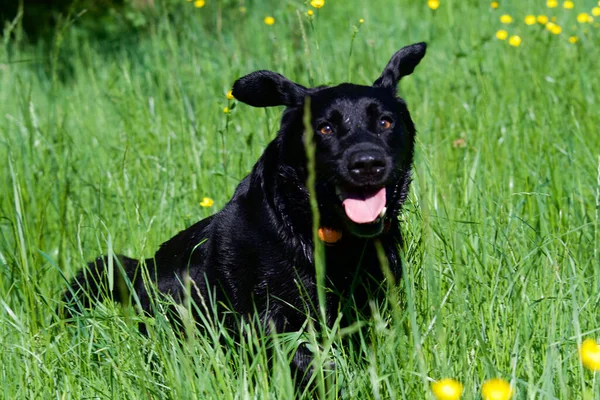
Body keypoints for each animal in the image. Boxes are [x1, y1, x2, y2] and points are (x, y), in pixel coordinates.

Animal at [65, 42, 426, 382]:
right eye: (325, 128)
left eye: (385, 122)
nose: (367, 163)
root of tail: (141, 268)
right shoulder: (266, 317)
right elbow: (308, 361)